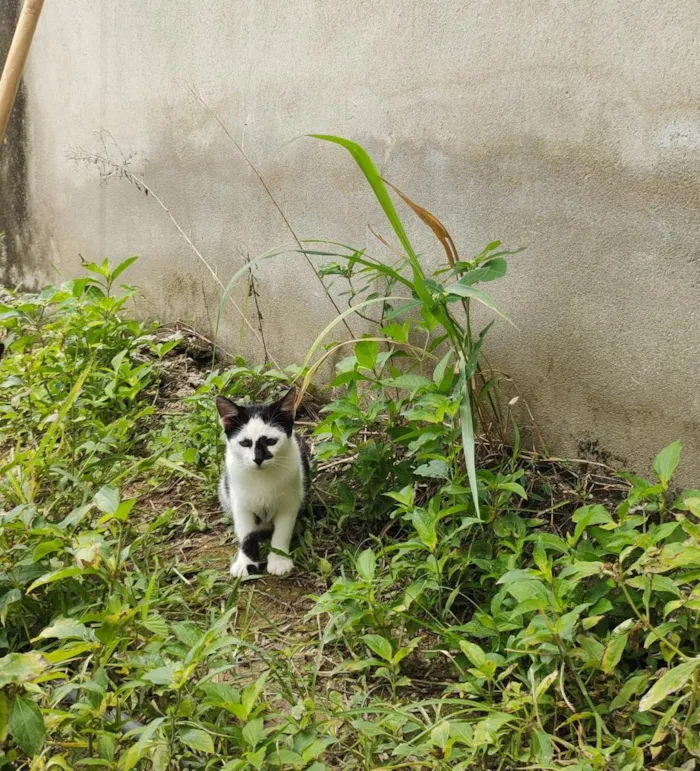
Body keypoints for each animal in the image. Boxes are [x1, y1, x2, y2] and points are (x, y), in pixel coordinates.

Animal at [216, 390, 308, 576]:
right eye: (245, 443)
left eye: (271, 441)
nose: (258, 459)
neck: (262, 479)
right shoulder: (241, 504)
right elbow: (247, 534)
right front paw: (246, 563)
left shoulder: (289, 503)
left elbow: (282, 532)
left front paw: (279, 560)